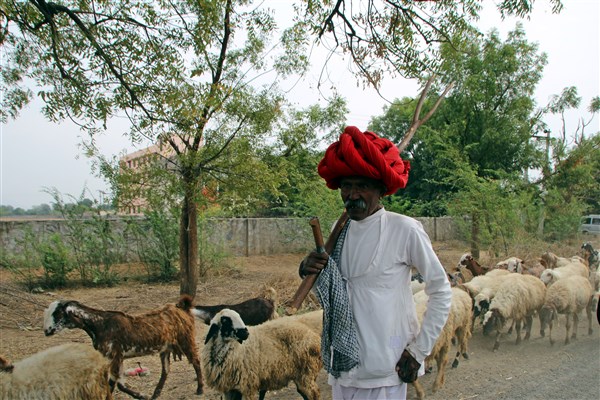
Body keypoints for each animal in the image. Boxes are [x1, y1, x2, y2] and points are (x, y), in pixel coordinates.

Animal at [43, 295, 203, 400]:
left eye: (57, 313)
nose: (46, 331)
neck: (99, 324)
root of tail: (181, 307)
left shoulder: (115, 355)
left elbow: (112, 384)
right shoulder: (117, 358)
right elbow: (120, 384)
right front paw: (142, 396)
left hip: (186, 340)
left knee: (195, 361)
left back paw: (200, 389)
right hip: (166, 348)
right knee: (166, 370)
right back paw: (155, 394)